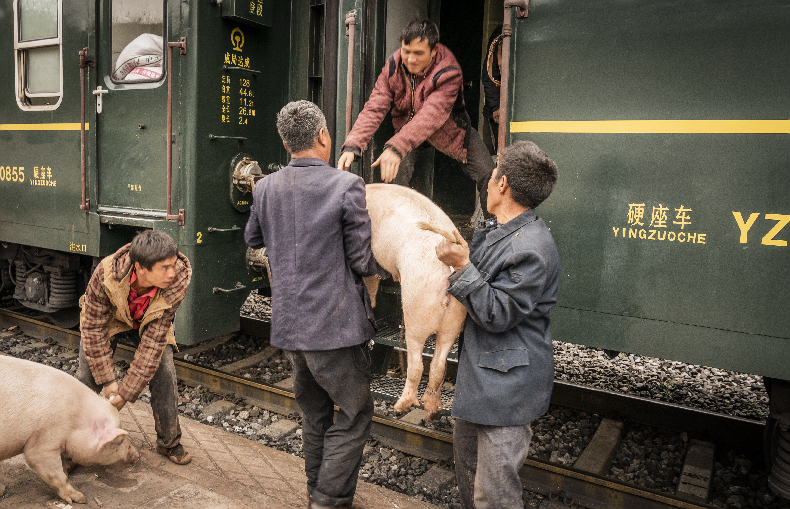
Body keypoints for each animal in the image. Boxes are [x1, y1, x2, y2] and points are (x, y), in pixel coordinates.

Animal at [0, 354, 141, 504]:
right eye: (119, 442)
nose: (138, 455)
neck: (76, 422)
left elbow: (63, 468)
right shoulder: (44, 441)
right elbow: (51, 469)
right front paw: (81, 499)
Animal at [366, 185, 470, 414]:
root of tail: (446, 271)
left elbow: (370, 278)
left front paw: (373, 302)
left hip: (416, 311)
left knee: (417, 365)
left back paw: (402, 405)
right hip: (454, 319)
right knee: (438, 366)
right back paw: (431, 405)